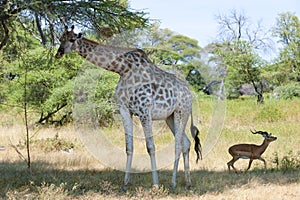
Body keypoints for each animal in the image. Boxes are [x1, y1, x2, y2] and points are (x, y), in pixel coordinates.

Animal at [55, 25, 202, 189]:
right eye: (60, 39)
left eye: (72, 39)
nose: (59, 53)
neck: (122, 69)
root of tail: (191, 95)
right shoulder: (124, 109)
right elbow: (129, 147)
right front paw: (125, 184)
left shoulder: (145, 111)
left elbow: (150, 147)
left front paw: (155, 184)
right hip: (169, 117)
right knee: (185, 143)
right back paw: (187, 182)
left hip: (180, 112)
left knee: (178, 145)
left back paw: (174, 182)